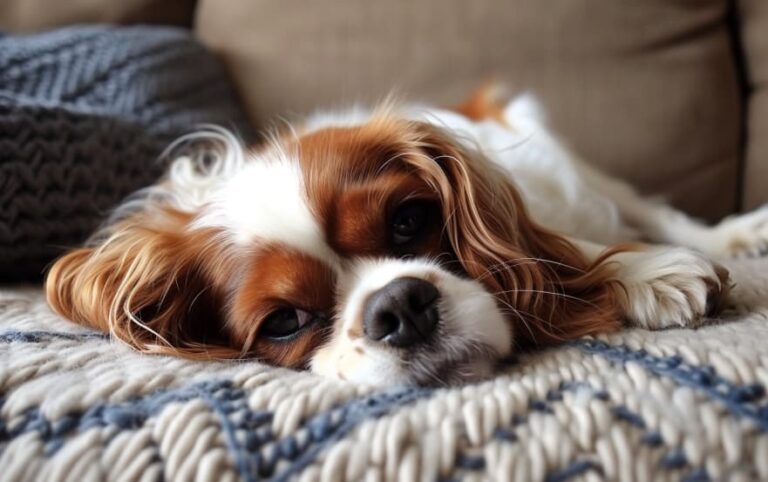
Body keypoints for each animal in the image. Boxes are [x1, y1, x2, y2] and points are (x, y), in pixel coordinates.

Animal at [48, 88, 768, 386]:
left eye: (408, 220)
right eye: (283, 321)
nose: (398, 307)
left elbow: (556, 247)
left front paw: (651, 272)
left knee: (641, 204)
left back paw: (732, 233)